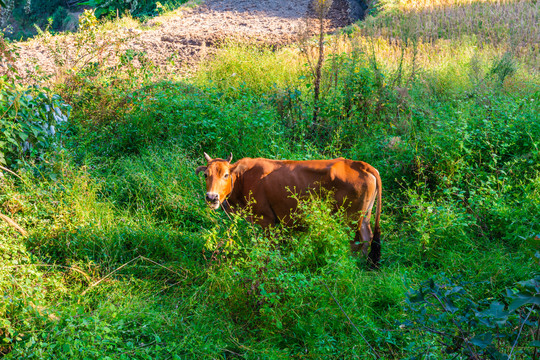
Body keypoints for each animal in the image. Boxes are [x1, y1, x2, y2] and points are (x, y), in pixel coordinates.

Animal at [196, 152, 382, 268]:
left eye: (226, 175)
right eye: (206, 175)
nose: (211, 197)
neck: (243, 178)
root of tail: (360, 165)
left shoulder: (267, 221)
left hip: (349, 219)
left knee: (356, 242)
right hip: (364, 217)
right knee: (367, 237)